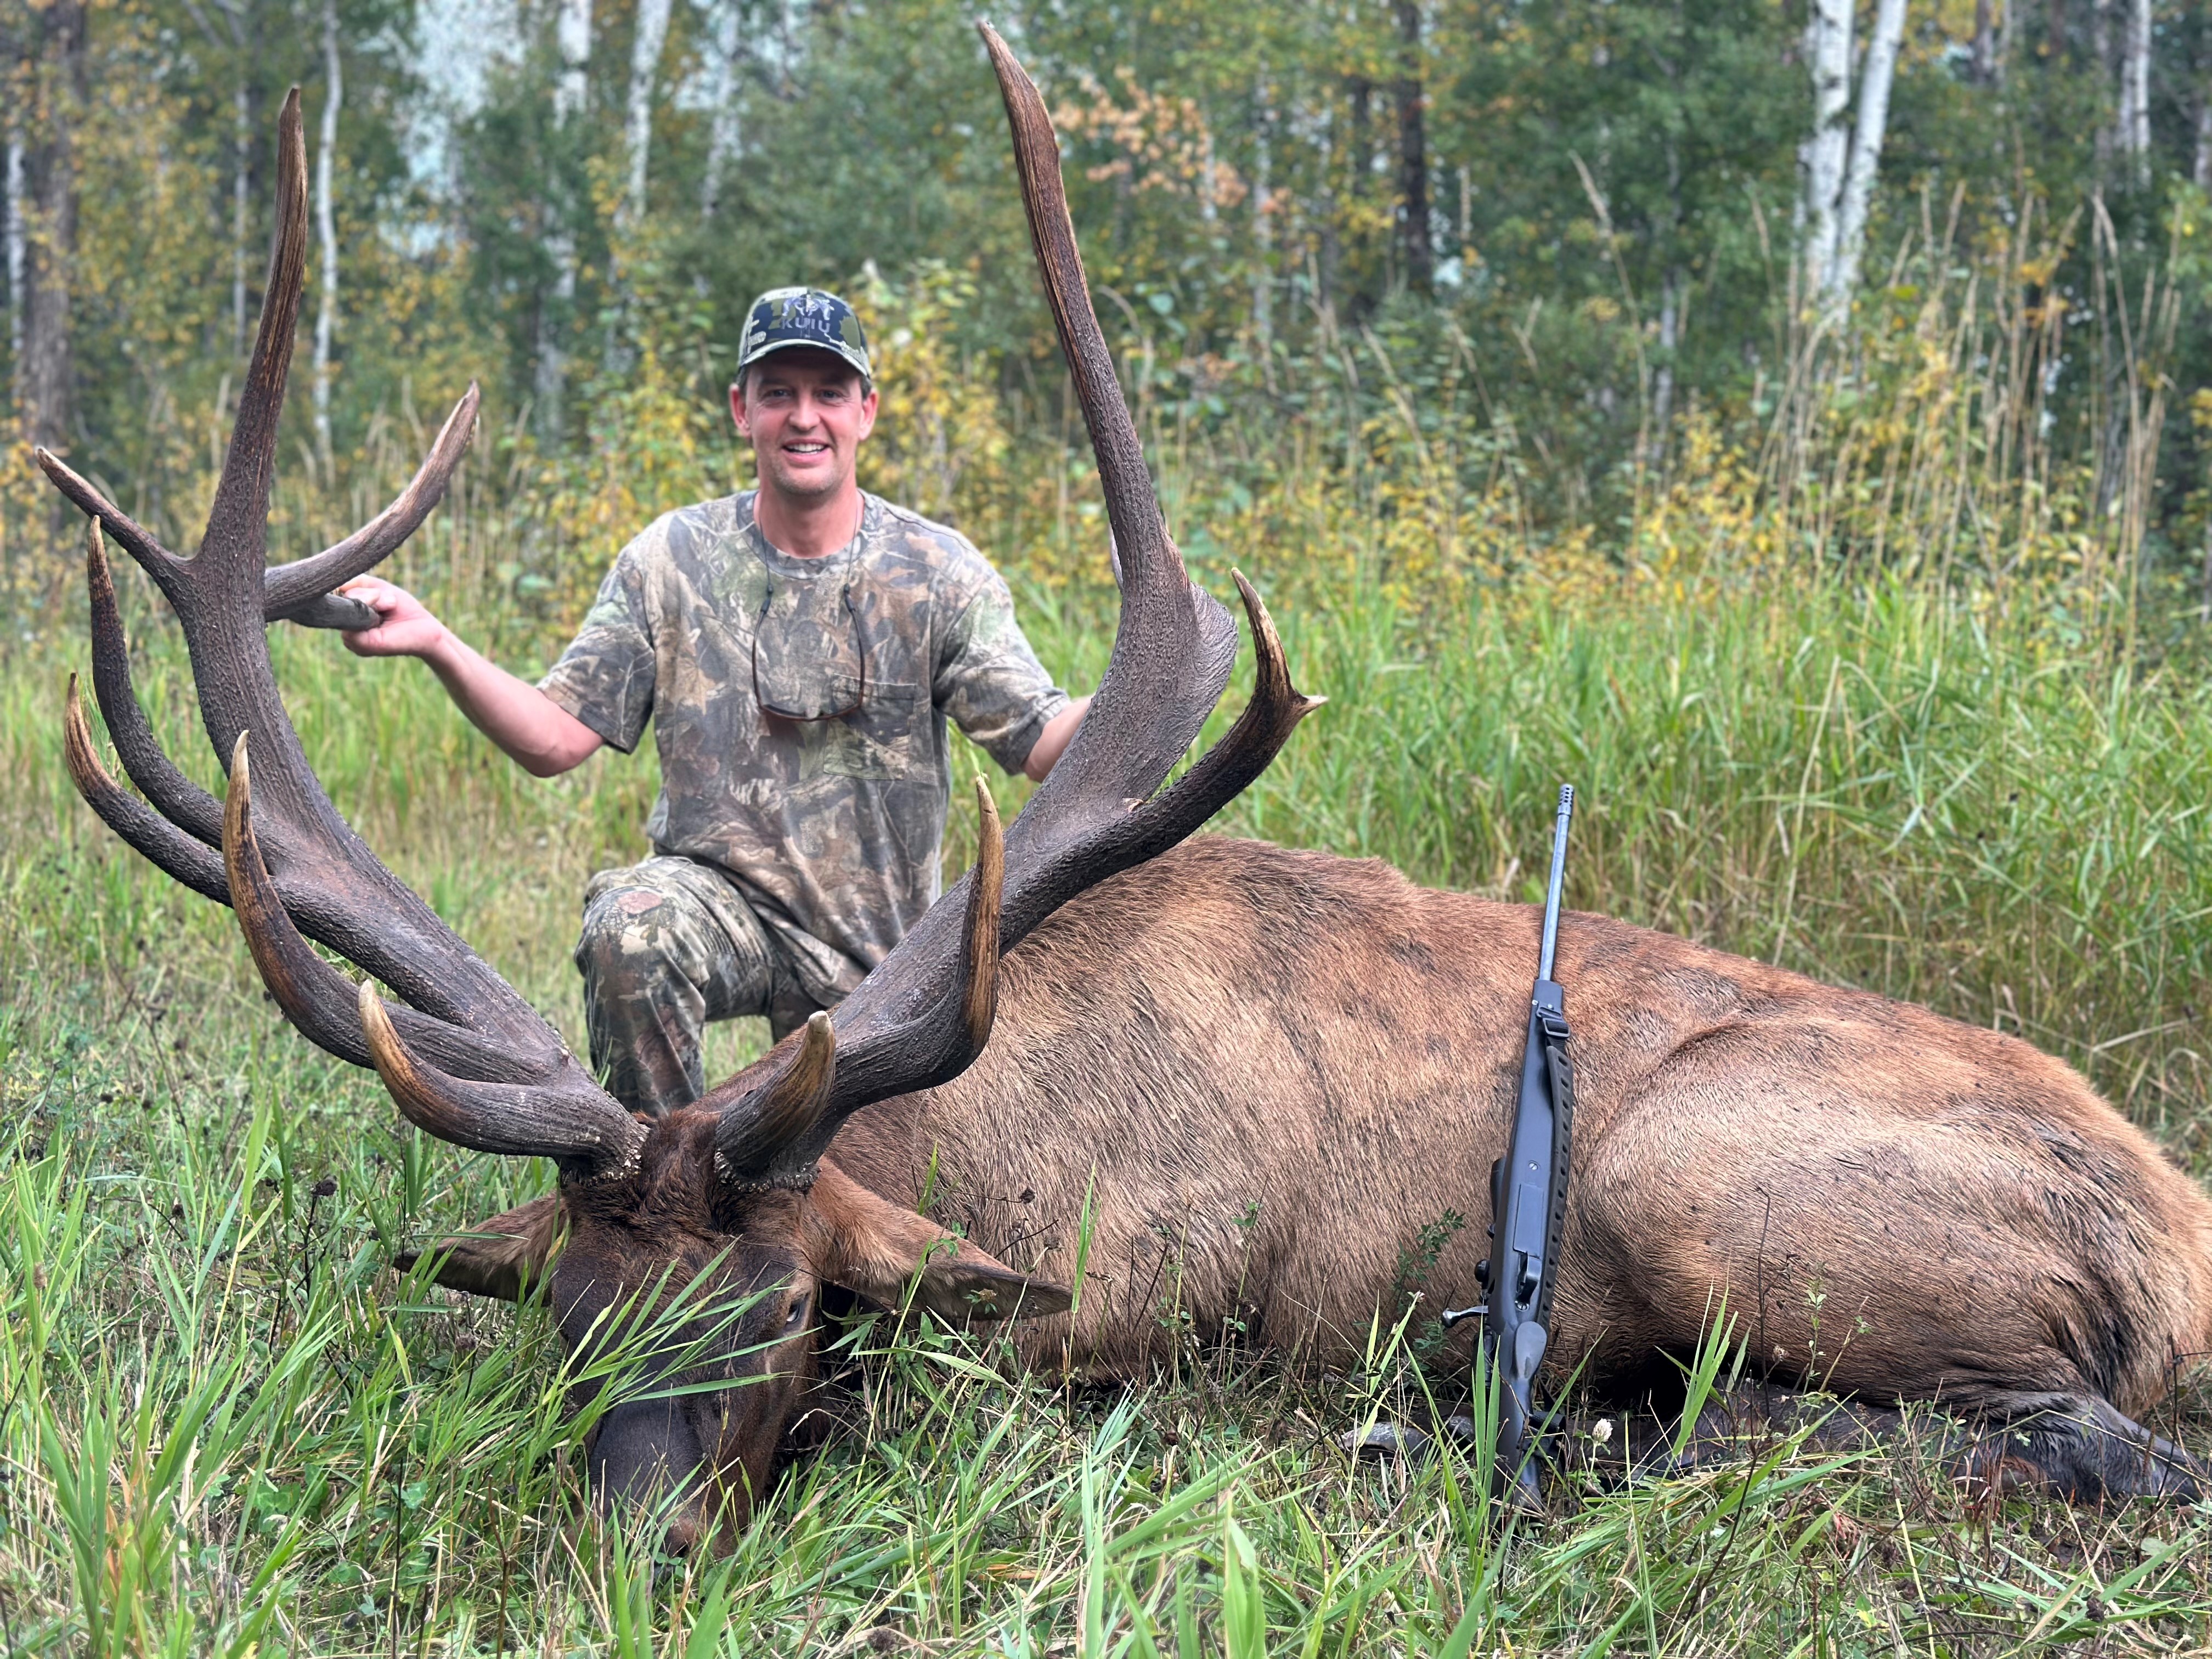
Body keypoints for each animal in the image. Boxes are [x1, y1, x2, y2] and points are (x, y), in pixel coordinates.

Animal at [45, 29, 2212, 1556]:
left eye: (770, 1318)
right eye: (572, 1324)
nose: (626, 1555)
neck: (977, 1145)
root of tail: (2185, 1238)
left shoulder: (1157, 1292)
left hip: (1698, 1178)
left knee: (2090, 1436)